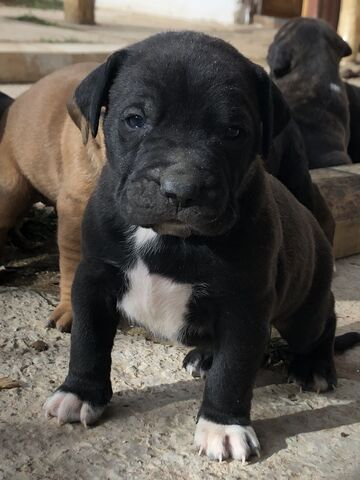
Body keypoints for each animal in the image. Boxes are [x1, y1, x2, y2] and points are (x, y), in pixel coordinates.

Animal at [44, 32, 338, 462]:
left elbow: (234, 370)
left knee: (323, 319)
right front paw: (79, 393)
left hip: (304, 313)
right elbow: (88, 338)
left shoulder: (245, 305)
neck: (165, 236)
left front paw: (223, 425)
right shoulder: (94, 278)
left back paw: (315, 367)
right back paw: (204, 356)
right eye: (135, 120)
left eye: (234, 131)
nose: (181, 188)